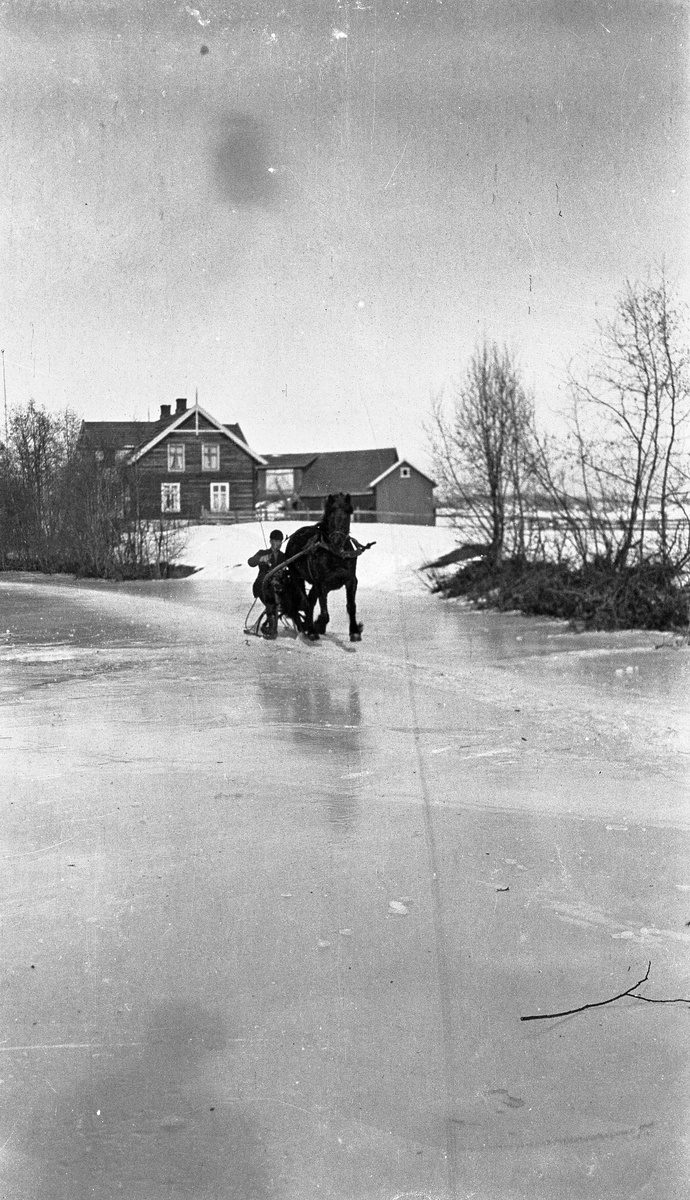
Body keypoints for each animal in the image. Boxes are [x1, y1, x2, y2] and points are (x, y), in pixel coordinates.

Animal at [273, 492, 372, 643]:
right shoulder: (321, 583)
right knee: (304, 601)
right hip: (297, 577)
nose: (337, 541)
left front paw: (355, 631)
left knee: (310, 600)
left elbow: (351, 606)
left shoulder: (351, 580)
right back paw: (308, 629)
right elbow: (324, 613)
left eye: (347, 513)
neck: (336, 553)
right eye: (331, 513)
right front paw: (317, 625)